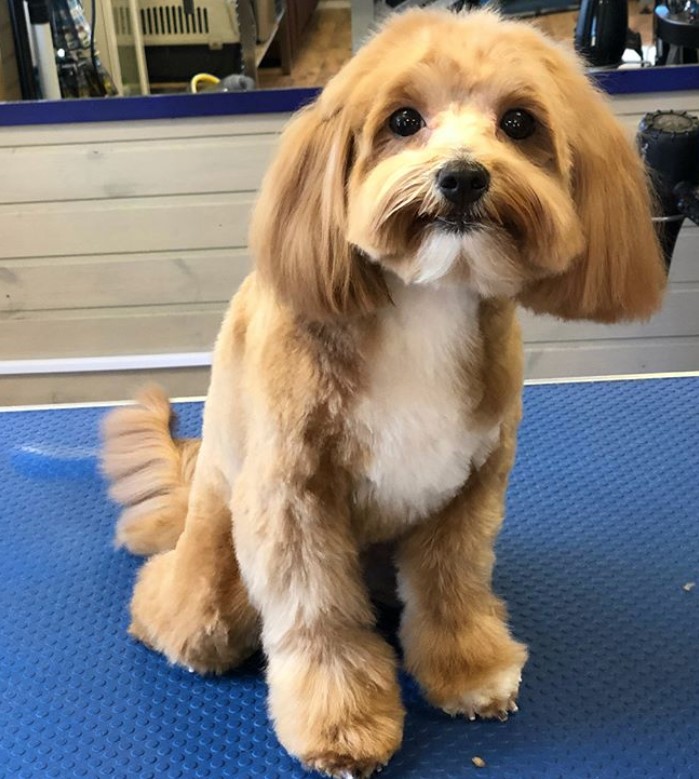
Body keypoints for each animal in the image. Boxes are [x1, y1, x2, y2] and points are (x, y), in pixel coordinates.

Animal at [102, 9, 668, 776]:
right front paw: (341, 724)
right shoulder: (294, 496)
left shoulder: (469, 486)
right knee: (179, 609)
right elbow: (319, 617)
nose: (462, 176)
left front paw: (469, 671)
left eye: (518, 123)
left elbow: (452, 587)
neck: (428, 299)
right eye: (403, 120)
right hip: (216, 560)